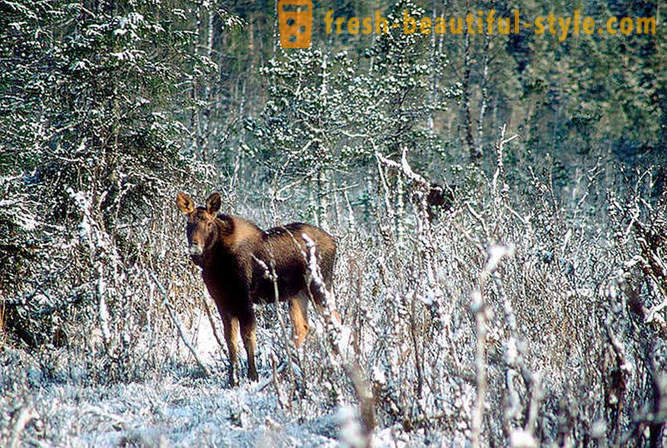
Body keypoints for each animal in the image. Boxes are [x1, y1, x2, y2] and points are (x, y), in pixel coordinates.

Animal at [176, 191, 336, 384]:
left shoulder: (244, 299)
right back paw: (286, 368)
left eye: (208, 222)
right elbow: (230, 340)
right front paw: (233, 379)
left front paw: (252, 376)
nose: (194, 246)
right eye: (188, 223)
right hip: (298, 294)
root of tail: (334, 242)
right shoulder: (222, 301)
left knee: (334, 322)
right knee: (302, 327)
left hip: (320, 288)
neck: (215, 262)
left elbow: (247, 336)